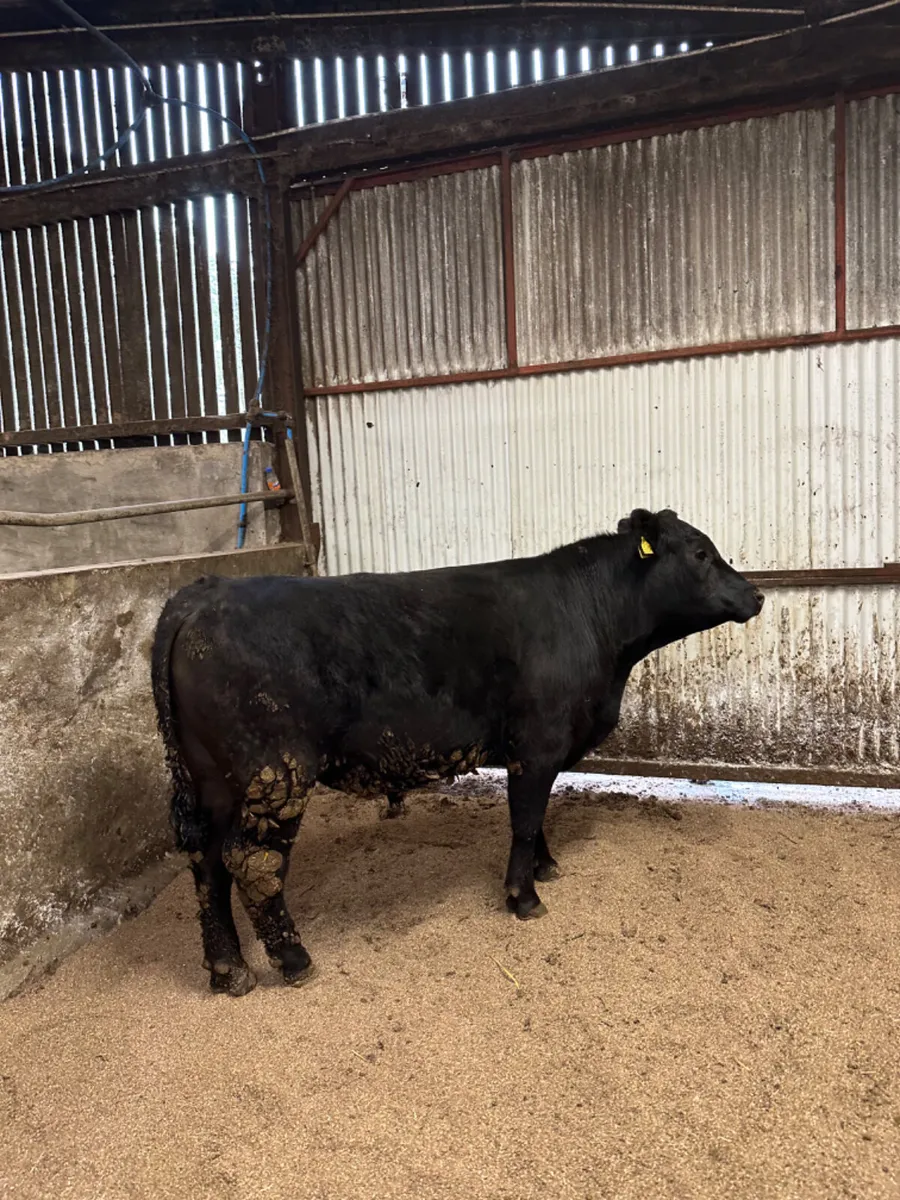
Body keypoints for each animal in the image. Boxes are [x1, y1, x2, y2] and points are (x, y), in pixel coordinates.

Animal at [151, 508, 764, 996]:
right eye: (701, 552)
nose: (756, 594)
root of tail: (203, 591)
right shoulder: (538, 742)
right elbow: (525, 819)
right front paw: (523, 897)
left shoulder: (536, 751)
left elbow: (536, 815)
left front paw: (546, 868)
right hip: (276, 772)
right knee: (251, 861)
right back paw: (293, 959)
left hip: (215, 781)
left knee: (206, 860)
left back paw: (228, 969)